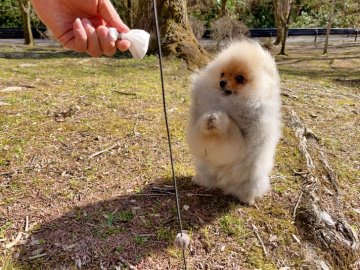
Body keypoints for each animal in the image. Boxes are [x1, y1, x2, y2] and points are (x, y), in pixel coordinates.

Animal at [187, 39, 282, 205]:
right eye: (222, 74)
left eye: (240, 78)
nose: (222, 82)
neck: (229, 101)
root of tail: (223, 183)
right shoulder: (197, 128)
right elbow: (200, 132)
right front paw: (208, 119)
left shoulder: (245, 139)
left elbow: (231, 134)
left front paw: (218, 119)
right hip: (204, 170)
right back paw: (199, 181)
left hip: (250, 181)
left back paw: (248, 199)